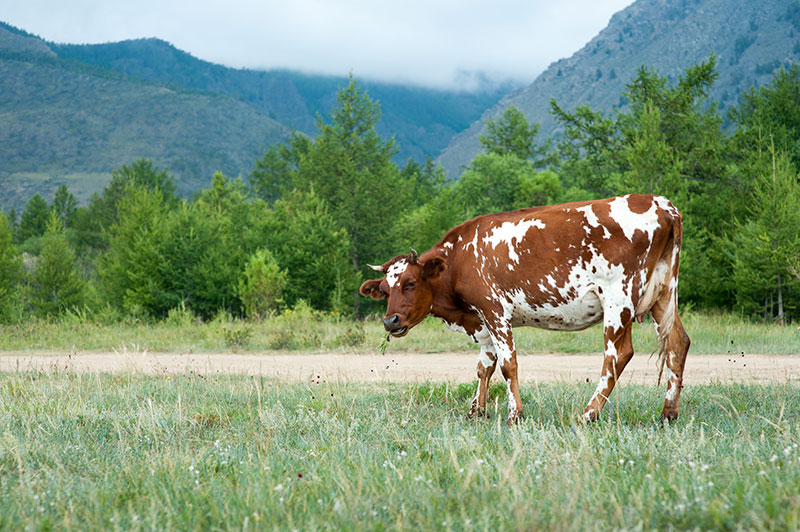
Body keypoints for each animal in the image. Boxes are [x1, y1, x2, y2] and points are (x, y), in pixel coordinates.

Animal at [360, 194, 692, 424]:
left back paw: (588, 414)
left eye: (411, 282)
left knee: (617, 354)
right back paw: (668, 413)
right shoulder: (481, 320)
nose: (390, 321)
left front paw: (514, 415)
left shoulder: (493, 309)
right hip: (663, 294)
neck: (459, 260)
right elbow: (484, 366)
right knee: (678, 343)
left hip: (618, 298)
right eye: (385, 290)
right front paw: (476, 411)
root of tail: (661, 204)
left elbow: (508, 364)